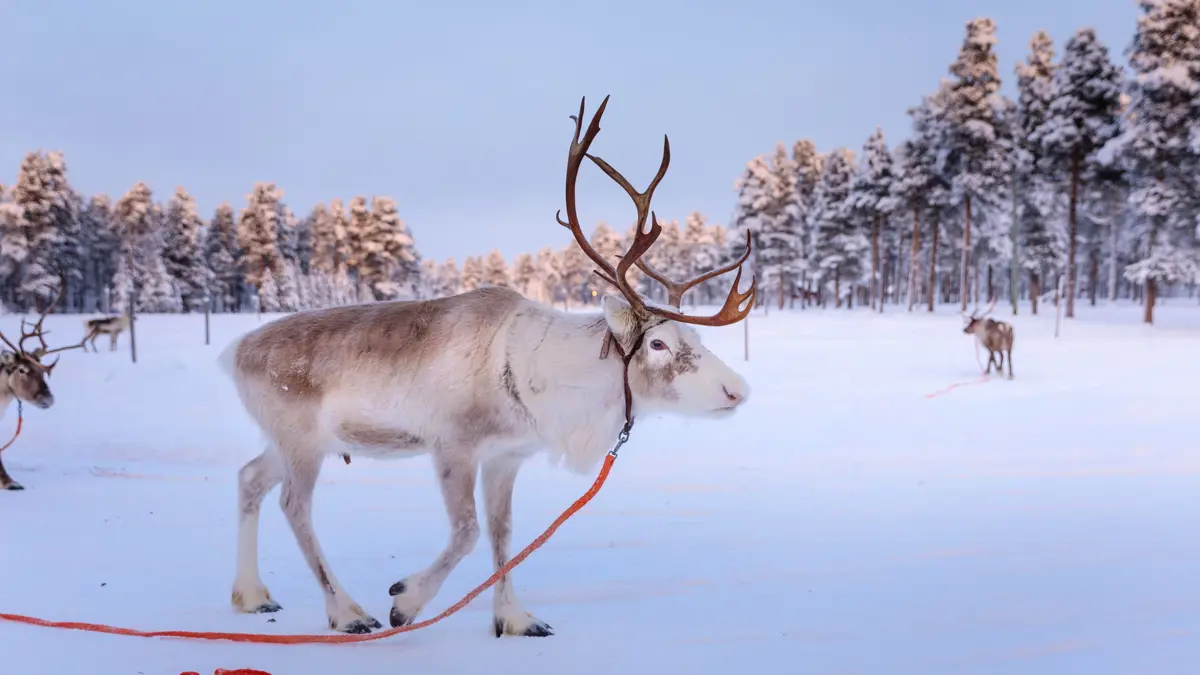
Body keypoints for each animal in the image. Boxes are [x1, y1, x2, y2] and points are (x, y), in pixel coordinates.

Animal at [220, 95, 756, 638]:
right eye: (660, 344)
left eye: (695, 338)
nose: (738, 390)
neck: (549, 385)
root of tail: (234, 352)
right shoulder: (453, 445)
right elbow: (467, 532)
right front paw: (406, 601)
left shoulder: (506, 457)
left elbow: (503, 534)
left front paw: (514, 618)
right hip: (302, 441)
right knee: (294, 506)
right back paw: (347, 612)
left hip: (290, 441)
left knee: (249, 478)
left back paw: (252, 595)